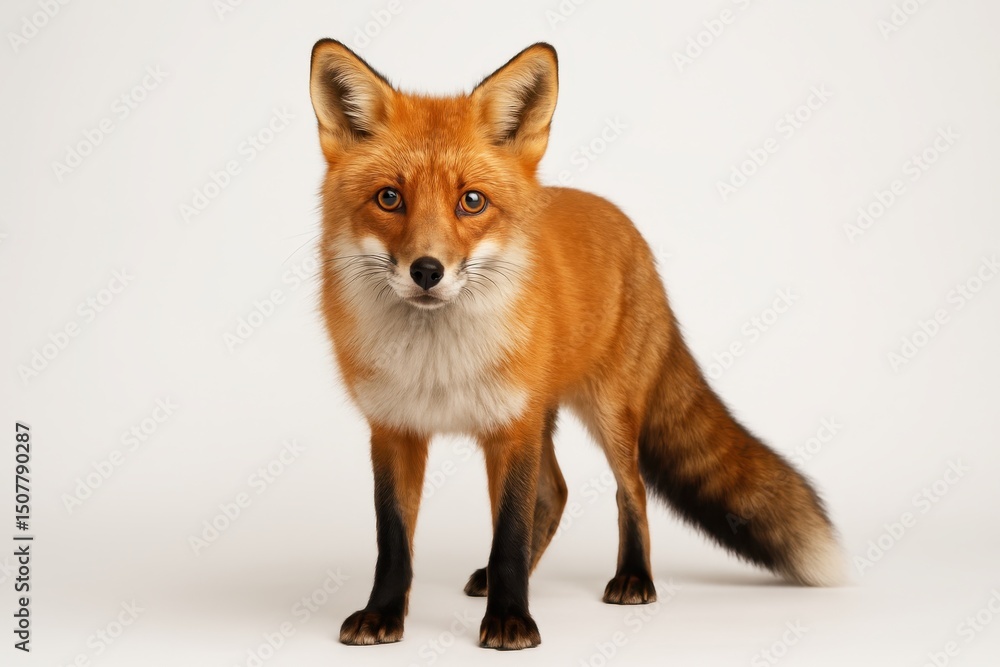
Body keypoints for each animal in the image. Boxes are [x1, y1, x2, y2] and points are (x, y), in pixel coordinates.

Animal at [308, 39, 842, 650]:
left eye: (472, 201)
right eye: (389, 198)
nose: (427, 270)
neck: (438, 364)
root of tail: (621, 221)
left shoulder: (512, 427)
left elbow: (509, 535)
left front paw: (510, 619)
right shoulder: (395, 429)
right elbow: (394, 541)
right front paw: (383, 614)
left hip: (609, 412)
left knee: (630, 492)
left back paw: (633, 578)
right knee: (556, 494)